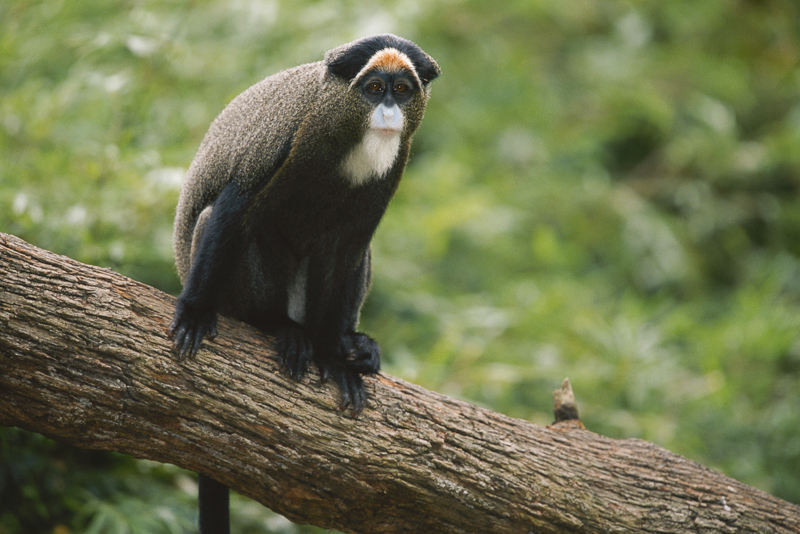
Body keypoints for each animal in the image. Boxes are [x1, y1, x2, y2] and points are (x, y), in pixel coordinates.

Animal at [166, 34, 439, 533]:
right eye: (374, 88)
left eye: (402, 89)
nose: (389, 111)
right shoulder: (285, 135)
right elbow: (234, 206)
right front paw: (193, 311)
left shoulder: (394, 166)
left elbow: (349, 248)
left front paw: (335, 356)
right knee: (231, 224)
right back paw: (278, 326)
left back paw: (349, 344)